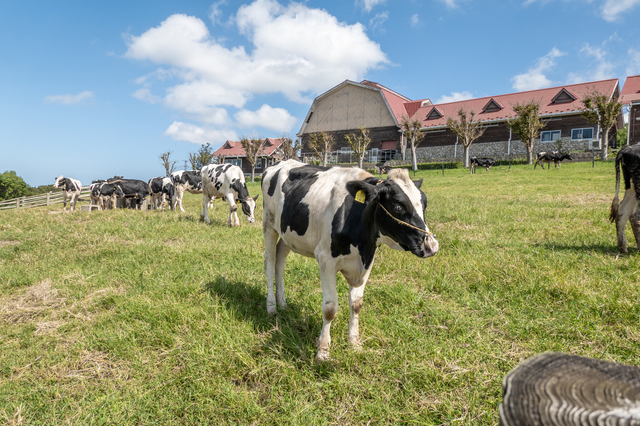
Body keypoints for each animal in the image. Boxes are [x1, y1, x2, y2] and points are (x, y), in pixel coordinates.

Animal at [262, 160, 440, 360]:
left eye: (424, 204)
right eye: (398, 207)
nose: (431, 246)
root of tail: (282, 162)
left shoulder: (367, 260)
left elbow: (356, 304)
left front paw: (354, 343)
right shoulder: (326, 260)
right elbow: (330, 308)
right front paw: (323, 351)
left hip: (288, 234)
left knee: (280, 260)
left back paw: (282, 303)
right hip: (269, 224)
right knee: (270, 262)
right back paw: (271, 307)